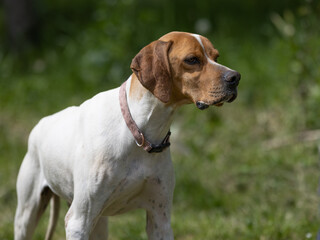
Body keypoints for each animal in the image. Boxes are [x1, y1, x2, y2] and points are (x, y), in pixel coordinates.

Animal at [15, 31, 240, 240]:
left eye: (216, 56)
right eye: (192, 59)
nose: (235, 77)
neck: (140, 134)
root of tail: (41, 123)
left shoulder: (160, 220)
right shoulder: (78, 221)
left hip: (99, 224)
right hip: (27, 216)